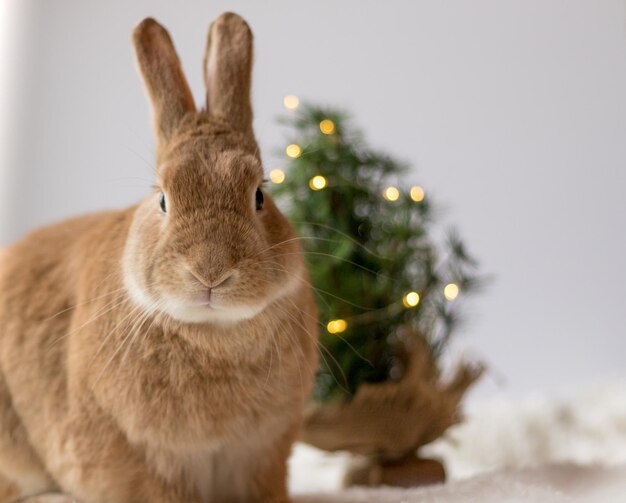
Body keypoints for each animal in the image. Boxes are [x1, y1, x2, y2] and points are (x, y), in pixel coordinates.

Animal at [0, 11, 316, 503]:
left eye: (259, 195)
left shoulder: (262, 453)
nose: (210, 271)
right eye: (163, 199)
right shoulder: (134, 456)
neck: (214, 335)